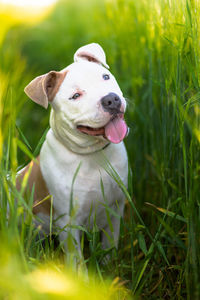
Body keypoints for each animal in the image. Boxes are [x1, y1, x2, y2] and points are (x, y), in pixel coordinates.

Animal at [17, 42, 130, 258]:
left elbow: (109, 247)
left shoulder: (115, 209)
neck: (93, 156)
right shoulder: (69, 225)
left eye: (105, 77)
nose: (111, 100)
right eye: (75, 96)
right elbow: (77, 261)